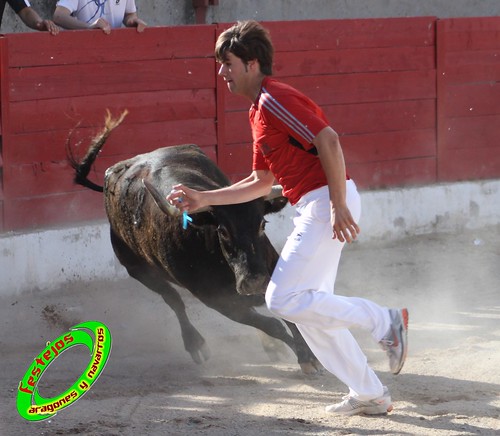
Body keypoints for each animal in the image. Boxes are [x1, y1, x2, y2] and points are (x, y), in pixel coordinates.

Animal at [68, 116, 320, 374]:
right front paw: (304, 355)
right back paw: (195, 344)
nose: (255, 281)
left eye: (262, 223)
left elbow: (286, 317)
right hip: (137, 270)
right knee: (174, 300)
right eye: (223, 231)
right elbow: (272, 324)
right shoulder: (214, 299)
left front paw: (309, 356)